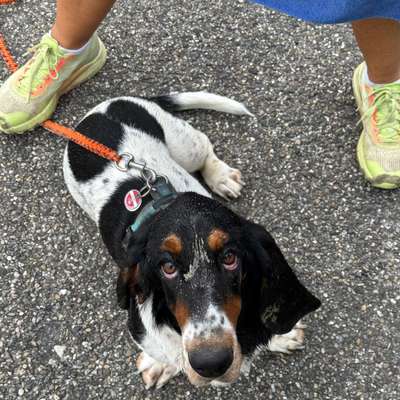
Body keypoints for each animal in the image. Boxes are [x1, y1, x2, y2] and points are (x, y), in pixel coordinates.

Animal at [62, 93, 320, 388]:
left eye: (230, 257)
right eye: (167, 267)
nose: (211, 362)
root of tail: (104, 107)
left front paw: (281, 335)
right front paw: (160, 365)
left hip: (185, 145)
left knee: (205, 147)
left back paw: (222, 178)